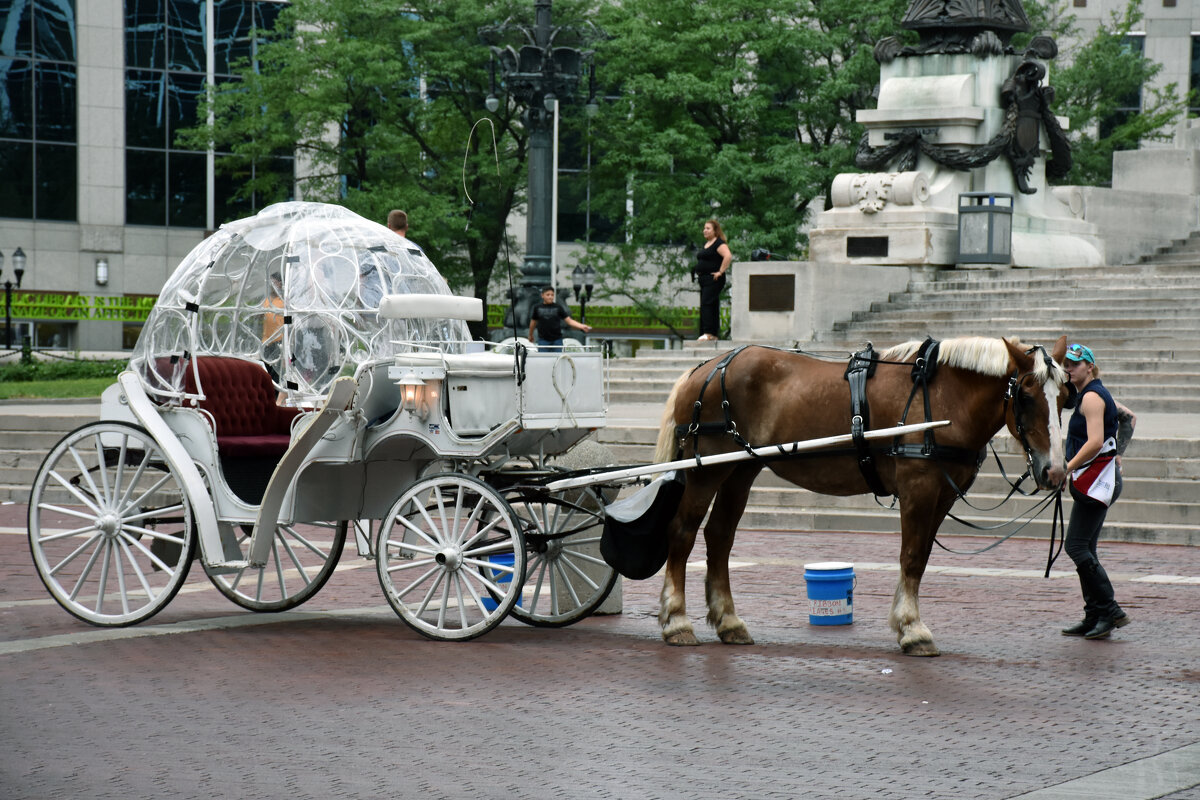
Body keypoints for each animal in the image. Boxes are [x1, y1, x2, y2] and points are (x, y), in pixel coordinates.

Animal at [652, 335, 1075, 652]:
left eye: (1064, 396)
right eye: (1025, 395)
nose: (1055, 471)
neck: (943, 397)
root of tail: (705, 368)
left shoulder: (942, 495)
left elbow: (921, 557)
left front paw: (906, 623)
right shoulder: (919, 486)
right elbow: (912, 557)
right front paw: (912, 628)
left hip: (741, 469)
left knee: (719, 537)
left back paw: (729, 621)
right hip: (708, 469)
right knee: (682, 533)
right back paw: (677, 621)